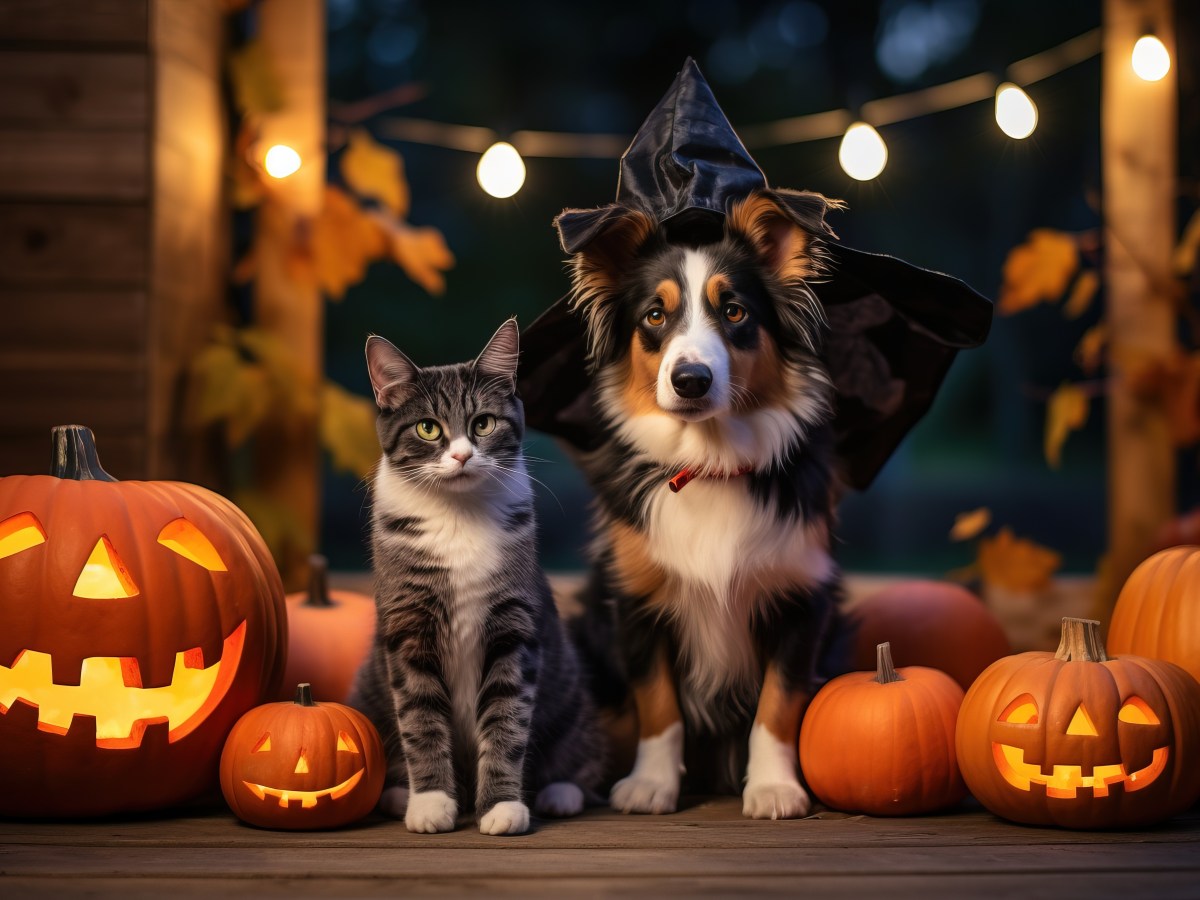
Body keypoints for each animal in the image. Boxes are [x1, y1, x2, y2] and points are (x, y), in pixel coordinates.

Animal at [350, 321, 604, 835]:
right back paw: (399, 793)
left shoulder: (514, 628)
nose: (462, 455)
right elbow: (420, 720)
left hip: (571, 694)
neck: (458, 516)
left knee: (577, 754)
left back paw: (560, 792)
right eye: (428, 427)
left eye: (483, 423)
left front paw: (502, 807)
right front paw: (430, 803)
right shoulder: (408, 627)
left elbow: (507, 719)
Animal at [559, 187, 849, 820]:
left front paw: (773, 788)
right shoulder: (635, 601)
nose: (690, 379)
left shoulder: (803, 598)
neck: (710, 466)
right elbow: (658, 704)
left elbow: (778, 704)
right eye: (654, 316)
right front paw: (650, 785)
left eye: (734, 312)